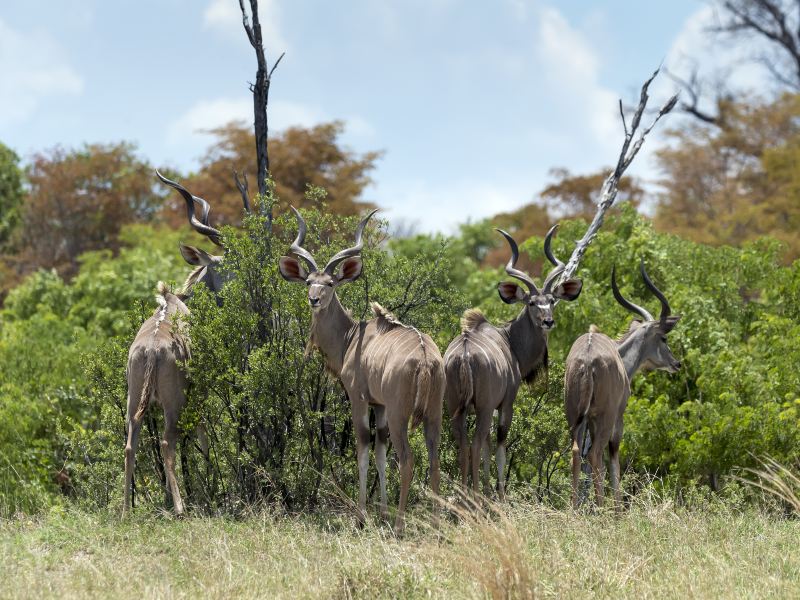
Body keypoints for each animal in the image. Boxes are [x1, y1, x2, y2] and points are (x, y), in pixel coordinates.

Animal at [122, 171, 245, 512]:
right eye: (231, 265)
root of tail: (151, 349)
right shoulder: (199, 391)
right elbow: (202, 437)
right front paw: (206, 492)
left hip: (134, 400)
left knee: (131, 444)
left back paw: (125, 510)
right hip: (173, 401)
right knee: (167, 440)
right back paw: (180, 508)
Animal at [280, 207, 444, 536]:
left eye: (330, 283)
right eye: (308, 282)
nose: (314, 300)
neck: (352, 337)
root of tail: (425, 359)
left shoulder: (359, 398)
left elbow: (363, 450)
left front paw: (362, 518)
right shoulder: (379, 406)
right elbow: (380, 452)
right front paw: (380, 514)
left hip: (400, 414)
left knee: (407, 461)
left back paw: (400, 527)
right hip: (434, 415)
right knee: (434, 462)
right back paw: (434, 526)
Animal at [444, 225, 580, 496]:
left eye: (551, 301)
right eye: (531, 303)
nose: (548, 321)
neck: (509, 340)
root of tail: (464, 355)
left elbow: (487, 449)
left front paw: (488, 492)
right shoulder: (505, 404)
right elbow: (498, 449)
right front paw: (498, 494)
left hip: (456, 408)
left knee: (463, 445)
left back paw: (465, 495)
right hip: (484, 408)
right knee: (475, 445)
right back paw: (475, 497)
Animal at [564, 260, 680, 508]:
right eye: (664, 338)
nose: (677, 363)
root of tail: (587, 360)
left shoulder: (588, 419)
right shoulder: (617, 417)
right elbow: (614, 455)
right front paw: (617, 509)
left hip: (574, 415)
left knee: (577, 452)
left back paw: (573, 508)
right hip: (605, 417)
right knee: (595, 453)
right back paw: (601, 509)